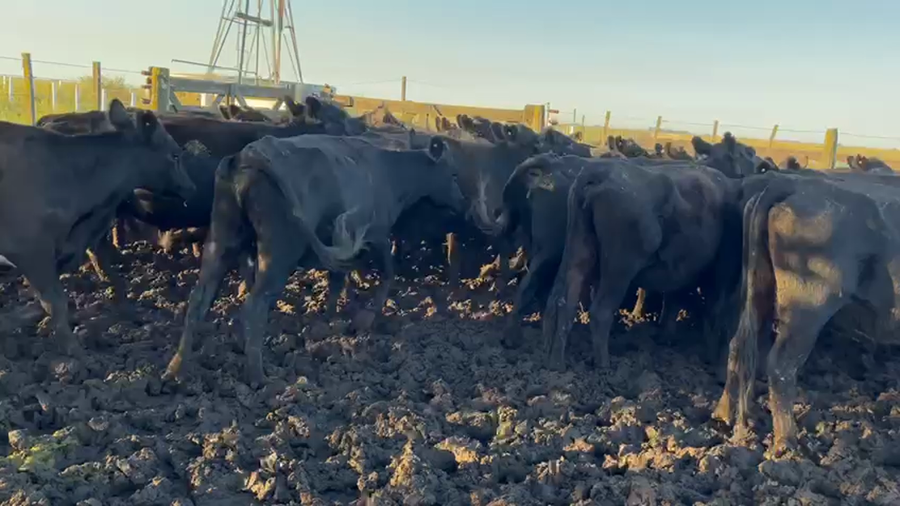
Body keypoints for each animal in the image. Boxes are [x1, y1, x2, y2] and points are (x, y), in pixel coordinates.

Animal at [163, 134, 465, 385]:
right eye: (452, 174)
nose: (464, 202)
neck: (388, 172)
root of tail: (247, 156)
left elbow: (337, 280)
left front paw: (328, 318)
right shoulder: (377, 234)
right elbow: (388, 272)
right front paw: (365, 317)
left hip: (221, 239)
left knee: (199, 301)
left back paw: (176, 370)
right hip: (279, 251)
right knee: (254, 306)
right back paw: (258, 376)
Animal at [540, 158, 742, 370]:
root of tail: (597, 173)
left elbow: (673, 302)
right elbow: (713, 312)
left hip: (579, 251)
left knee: (562, 303)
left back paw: (555, 362)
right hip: (619, 269)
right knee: (600, 312)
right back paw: (604, 364)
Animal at [713, 170, 900, 453]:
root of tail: (790, 184)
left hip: (759, 292)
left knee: (740, 346)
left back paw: (725, 415)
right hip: (806, 312)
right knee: (781, 366)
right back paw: (786, 443)